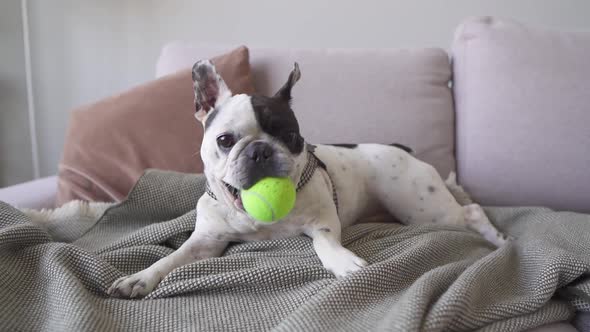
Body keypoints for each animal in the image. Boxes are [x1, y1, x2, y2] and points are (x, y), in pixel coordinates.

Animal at [27, 59, 512, 298]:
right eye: (225, 140)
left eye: (292, 137)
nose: (260, 149)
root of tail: (400, 148)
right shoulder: (205, 243)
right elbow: (172, 258)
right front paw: (141, 278)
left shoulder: (322, 223)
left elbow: (324, 244)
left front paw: (343, 262)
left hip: (421, 208)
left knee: (470, 210)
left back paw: (496, 239)